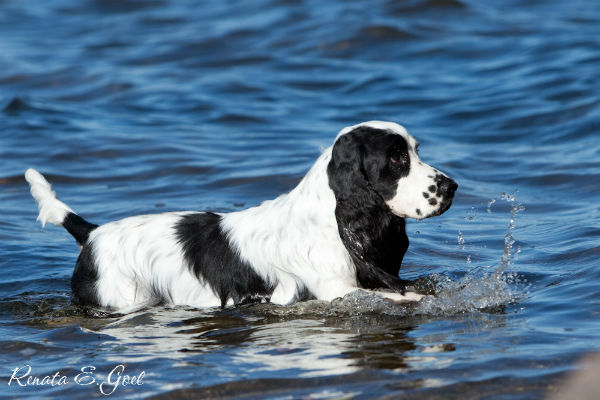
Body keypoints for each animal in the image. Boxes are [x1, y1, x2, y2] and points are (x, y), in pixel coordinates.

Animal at [23, 120, 454, 310]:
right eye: (396, 159)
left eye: (415, 150)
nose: (451, 186)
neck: (331, 218)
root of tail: (92, 234)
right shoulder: (332, 289)